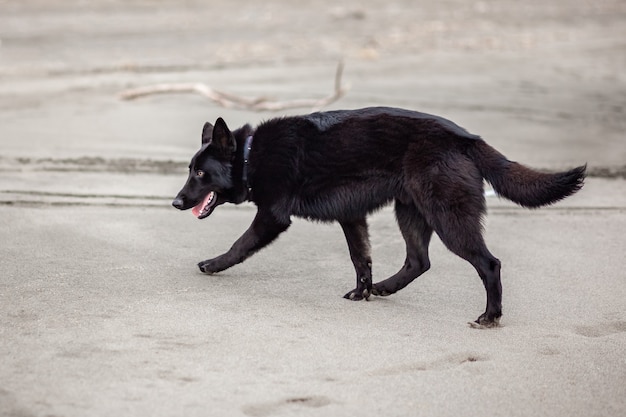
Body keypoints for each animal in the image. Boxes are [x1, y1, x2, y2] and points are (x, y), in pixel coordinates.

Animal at [172, 106, 584, 324]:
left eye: (200, 173)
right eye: (190, 169)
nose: (175, 203)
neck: (249, 155)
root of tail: (466, 138)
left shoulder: (272, 216)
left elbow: (240, 244)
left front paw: (214, 263)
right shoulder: (352, 217)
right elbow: (361, 259)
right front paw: (363, 291)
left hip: (448, 219)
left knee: (489, 264)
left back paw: (491, 316)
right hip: (411, 212)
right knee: (419, 261)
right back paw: (385, 288)